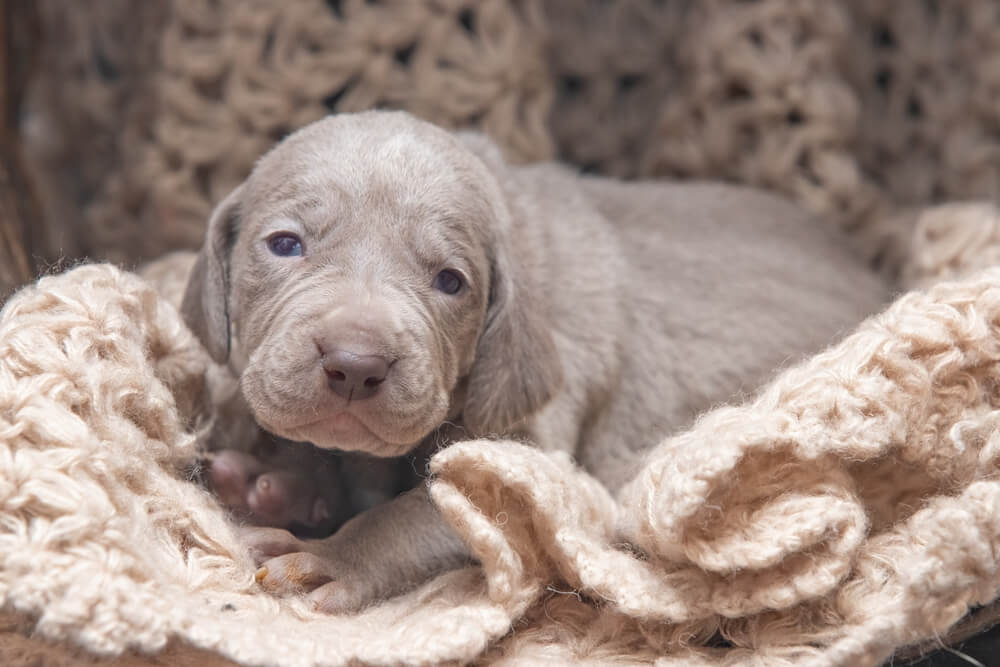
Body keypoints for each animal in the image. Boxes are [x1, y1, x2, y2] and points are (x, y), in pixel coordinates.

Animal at [182, 109, 892, 616]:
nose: (355, 365)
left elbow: (431, 509)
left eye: (450, 282)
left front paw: (332, 555)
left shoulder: (541, 459)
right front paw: (282, 485)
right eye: (284, 244)